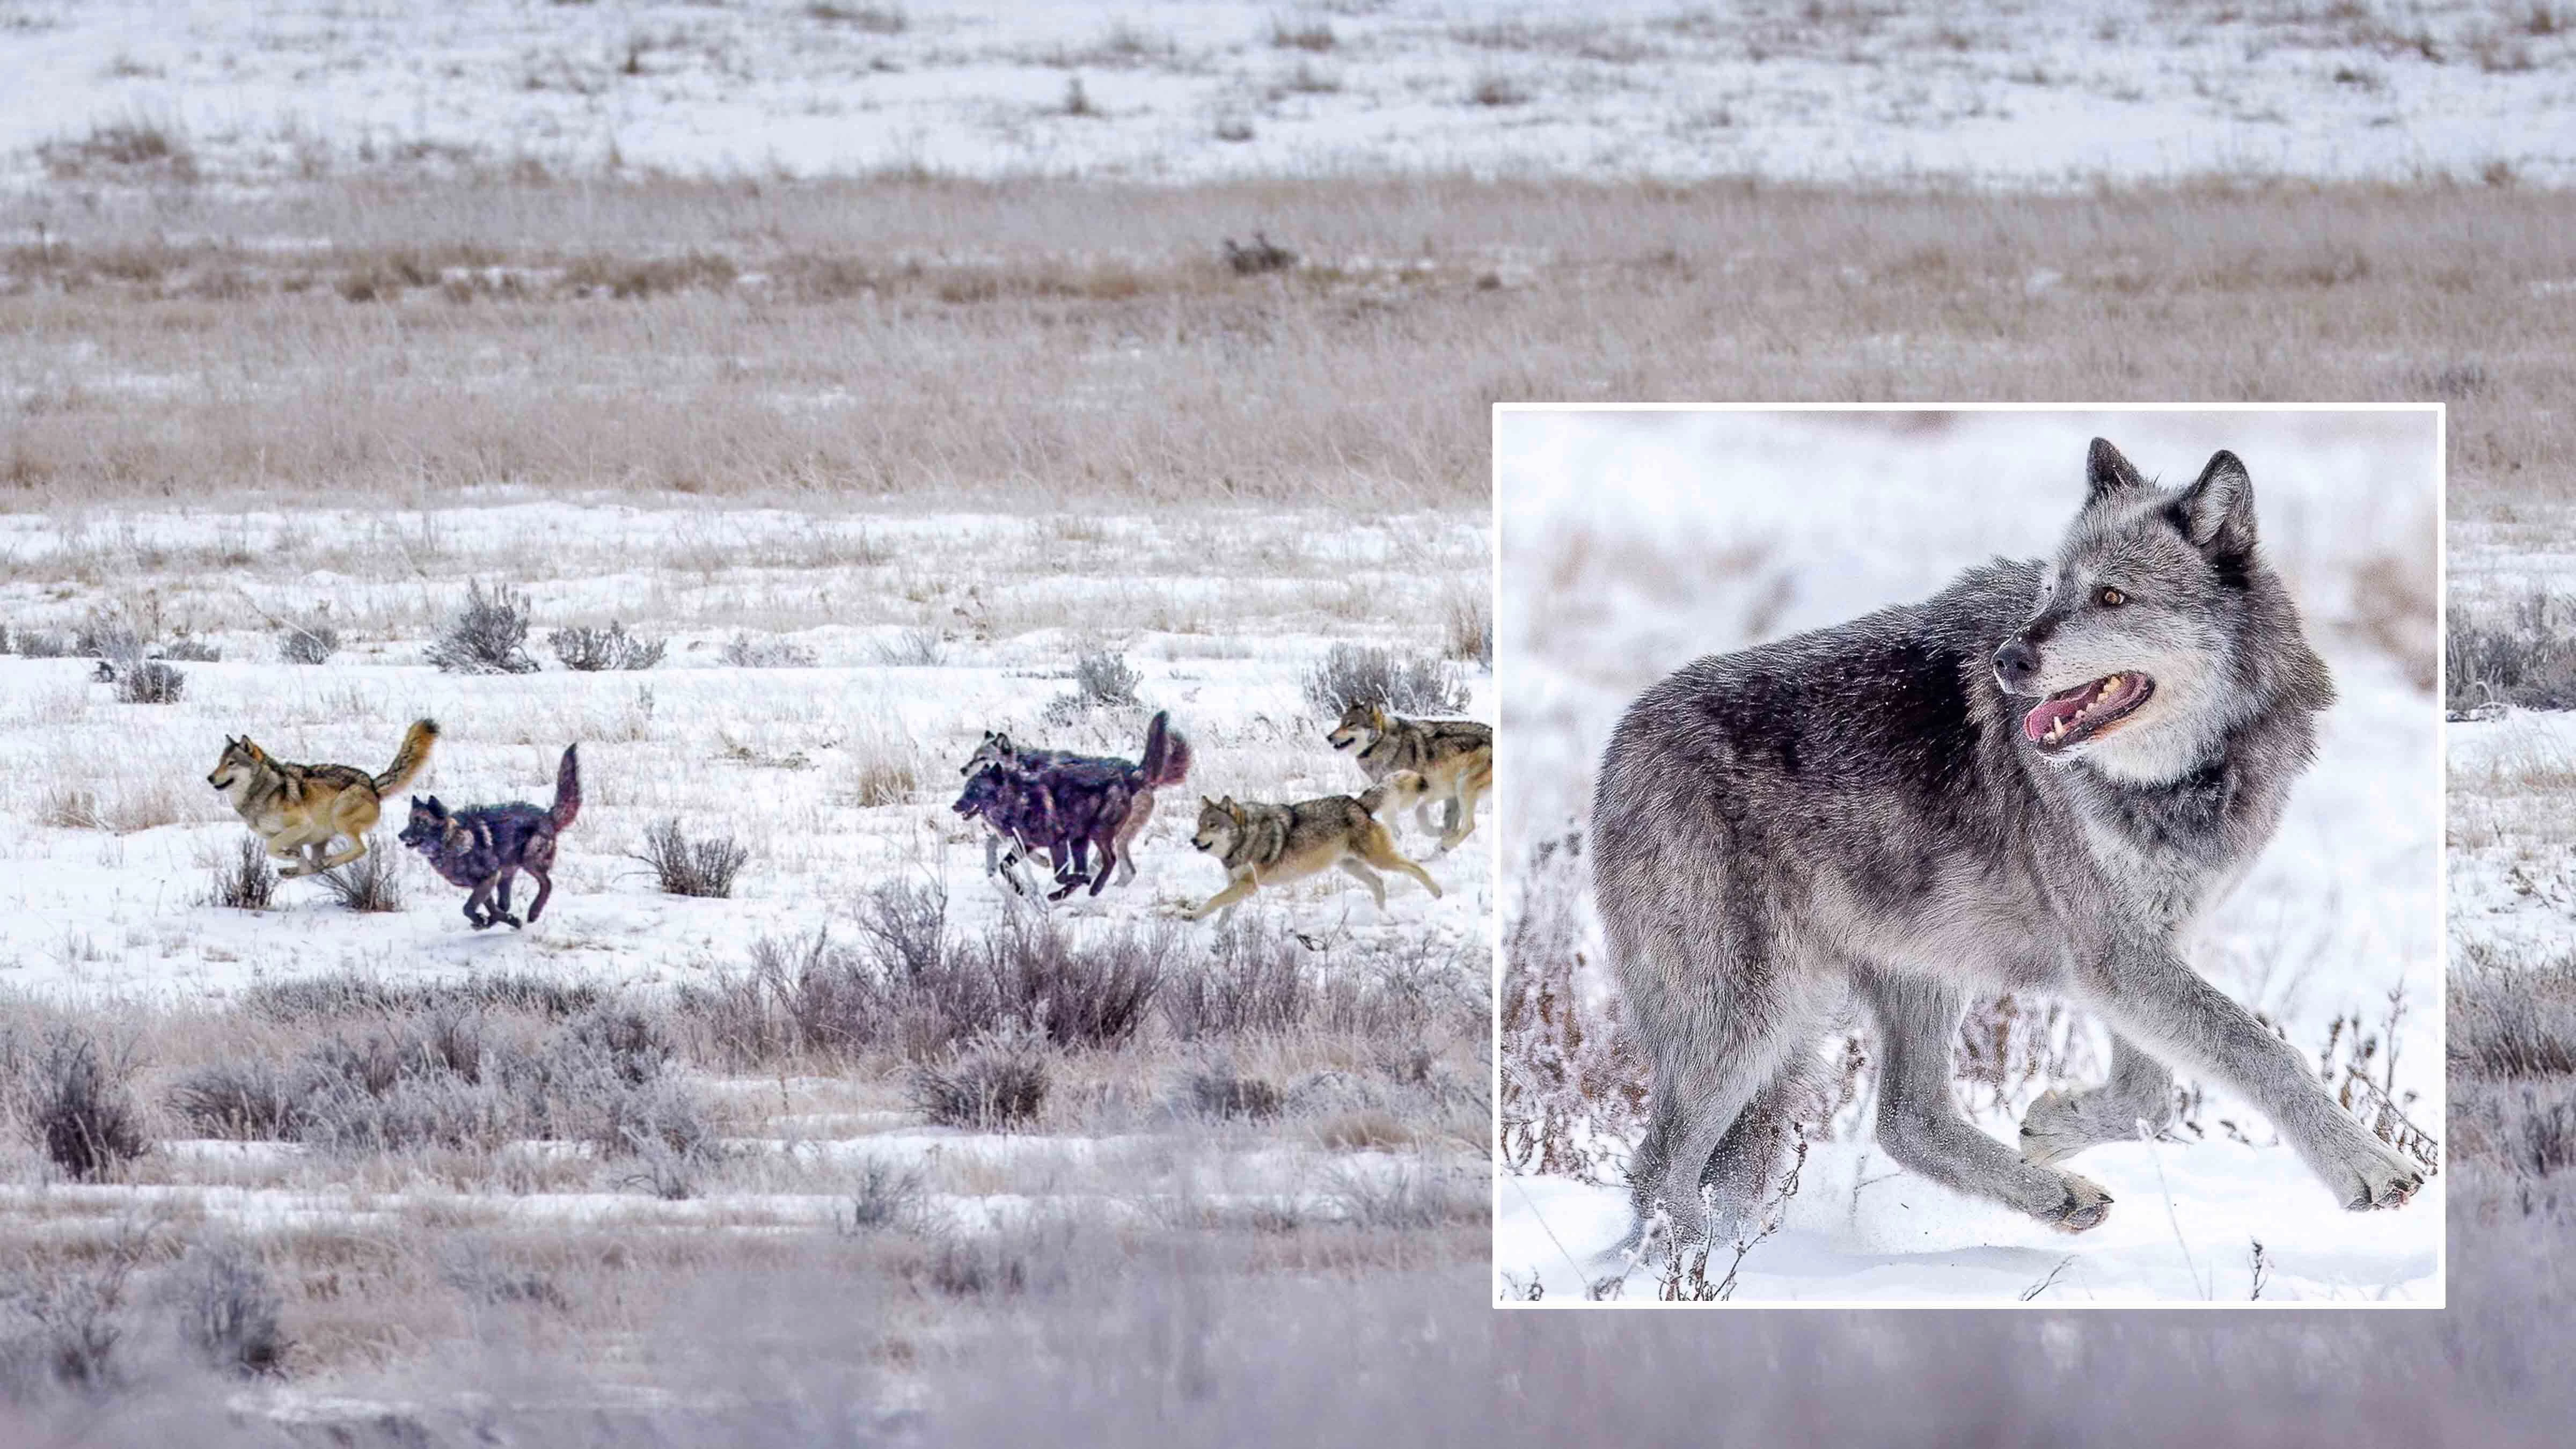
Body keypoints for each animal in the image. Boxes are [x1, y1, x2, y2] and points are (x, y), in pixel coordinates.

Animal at [207, 719, 438, 876]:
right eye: (220, 762)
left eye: (231, 763)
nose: (210, 778)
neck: (262, 793)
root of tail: (371, 784)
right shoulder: (293, 837)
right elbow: (294, 859)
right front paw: (293, 861)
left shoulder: (301, 826)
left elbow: (271, 848)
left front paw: (289, 857)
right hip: (321, 838)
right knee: (313, 866)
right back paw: (299, 870)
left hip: (340, 818)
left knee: (360, 850)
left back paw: (330, 862)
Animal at [399, 745, 581, 930]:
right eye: (409, 822)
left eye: (421, 823)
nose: (400, 836)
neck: (451, 844)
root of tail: (547, 816)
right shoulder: (483, 883)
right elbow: (491, 908)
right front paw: (500, 921)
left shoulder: (490, 877)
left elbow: (469, 908)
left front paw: (486, 920)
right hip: (507, 874)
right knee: (505, 903)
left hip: (529, 861)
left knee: (547, 884)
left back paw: (534, 912)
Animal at [1185, 774, 1444, 922]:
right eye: (1199, 824)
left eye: (1213, 825)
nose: (1194, 841)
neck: (1245, 840)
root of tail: (1357, 803)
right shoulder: (1237, 885)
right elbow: (1222, 912)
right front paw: (1218, 942)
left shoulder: (1248, 885)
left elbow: (1213, 901)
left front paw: (1190, 916)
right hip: (1351, 867)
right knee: (1379, 882)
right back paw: (1384, 917)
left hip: (1380, 860)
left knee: (1415, 868)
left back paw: (1438, 894)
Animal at [1326, 703, 1491, 849]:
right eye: (1341, 723)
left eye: (1351, 724)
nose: (1329, 737)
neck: (1383, 744)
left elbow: (1417, 816)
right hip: (1456, 794)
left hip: (1463, 788)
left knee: (1469, 826)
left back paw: (1444, 846)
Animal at [1592, 439, 2423, 1253]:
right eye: (2051, 591)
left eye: (2112, 597)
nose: (2009, 660)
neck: (2176, 781)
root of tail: (1617, 747)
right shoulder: (2115, 957)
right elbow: (2261, 1051)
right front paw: (2370, 1166)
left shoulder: (2139, 953)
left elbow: (2152, 1096)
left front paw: (2054, 1124)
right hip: (1749, 1026)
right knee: (1659, 1168)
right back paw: (1690, 1264)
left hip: (1914, 976)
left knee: (1907, 1122)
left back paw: (2057, 1197)